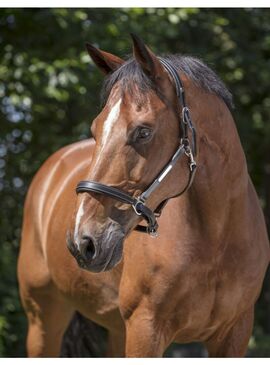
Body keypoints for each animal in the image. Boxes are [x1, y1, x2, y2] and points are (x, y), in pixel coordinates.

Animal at [17, 34, 268, 356]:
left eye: (143, 132)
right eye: (95, 130)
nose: (82, 242)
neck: (217, 240)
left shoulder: (234, 334)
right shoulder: (145, 330)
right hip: (44, 319)